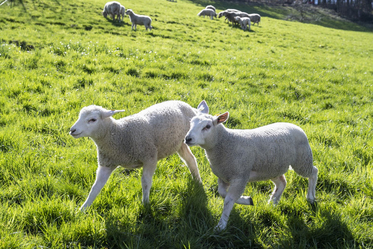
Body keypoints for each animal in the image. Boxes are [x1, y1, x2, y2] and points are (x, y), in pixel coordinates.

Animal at [71, 100, 202, 211]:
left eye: (92, 119)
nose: (72, 130)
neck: (118, 134)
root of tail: (187, 105)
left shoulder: (150, 157)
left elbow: (145, 182)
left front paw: (145, 204)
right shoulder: (107, 163)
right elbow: (95, 188)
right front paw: (82, 210)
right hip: (180, 144)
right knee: (190, 160)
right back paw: (198, 181)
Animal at [183, 100, 316, 231]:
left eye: (207, 126)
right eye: (190, 123)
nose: (187, 139)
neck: (225, 142)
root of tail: (295, 126)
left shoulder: (240, 177)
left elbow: (228, 200)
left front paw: (221, 226)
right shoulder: (223, 176)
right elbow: (223, 193)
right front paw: (247, 200)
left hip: (302, 160)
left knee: (313, 172)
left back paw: (310, 197)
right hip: (272, 167)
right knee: (282, 183)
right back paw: (272, 203)